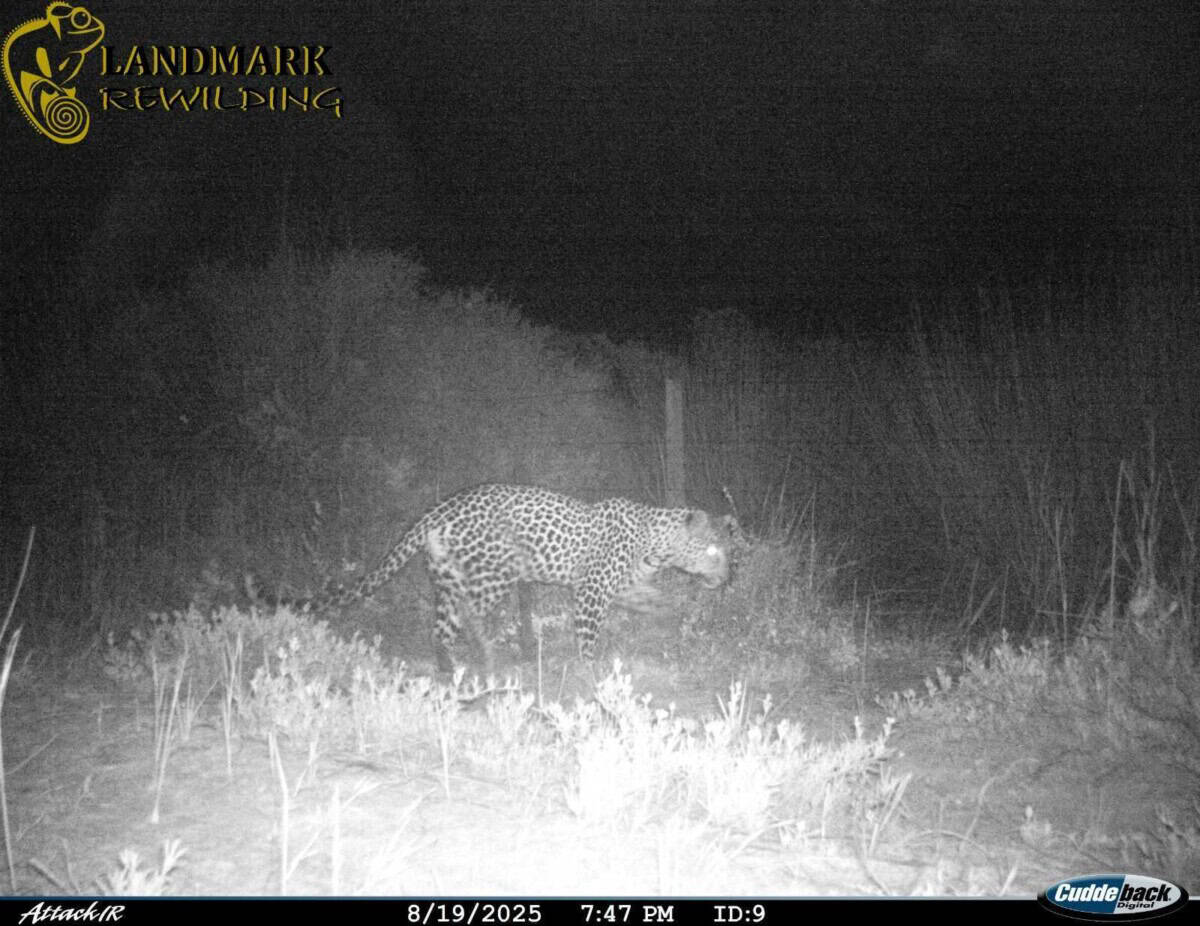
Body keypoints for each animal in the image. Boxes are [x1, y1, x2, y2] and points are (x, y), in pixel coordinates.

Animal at [257, 484, 735, 671]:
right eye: (714, 551)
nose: (728, 578)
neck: (656, 543)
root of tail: (439, 509)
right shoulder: (591, 589)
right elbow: (588, 634)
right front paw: (591, 669)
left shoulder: (625, 583)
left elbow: (647, 598)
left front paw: (671, 612)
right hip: (491, 576)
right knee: (462, 619)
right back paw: (487, 656)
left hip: (449, 575)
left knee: (442, 625)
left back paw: (453, 667)